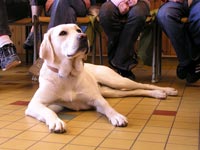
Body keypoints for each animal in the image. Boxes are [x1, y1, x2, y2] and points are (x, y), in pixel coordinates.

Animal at [25, 24, 178, 133]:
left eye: (78, 29)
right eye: (63, 33)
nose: (83, 36)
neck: (68, 74)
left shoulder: (96, 99)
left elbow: (107, 106)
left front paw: (116, 116)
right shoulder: (36, 104)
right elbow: (48, 110)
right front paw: (56, 121)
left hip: (116, 81)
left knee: (143, 85)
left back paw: (165, 90)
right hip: (111, 91)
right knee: (134, 91)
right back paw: (158, 94)